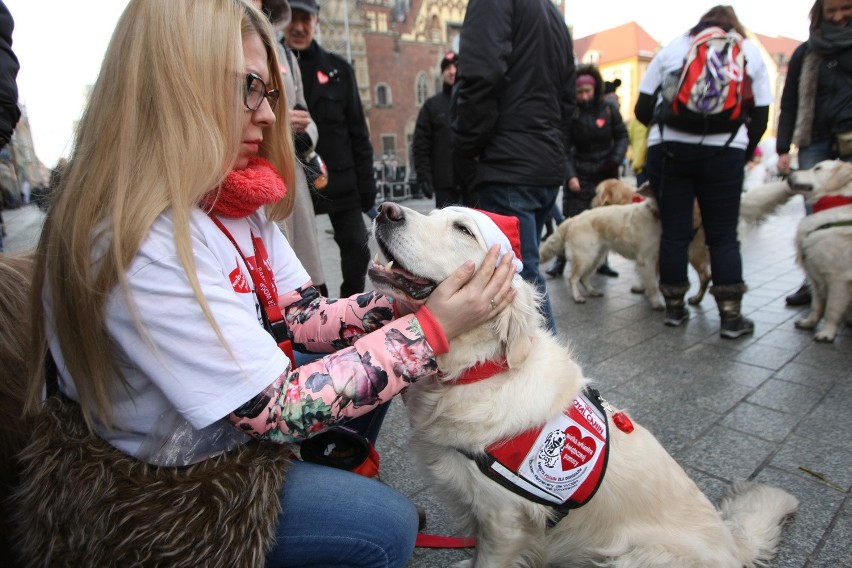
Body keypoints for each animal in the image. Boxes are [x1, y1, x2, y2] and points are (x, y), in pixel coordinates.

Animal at [368, 204, 800, 568]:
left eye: (462, 229)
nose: (384, 210)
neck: (479, 369)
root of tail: (732, 545)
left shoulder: (504, 520)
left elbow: (489, 559)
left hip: (632, 558)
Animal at [784, 161, 852, 342]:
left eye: (818, 168)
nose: (789, 174)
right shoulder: (814, 275)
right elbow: (816, 305)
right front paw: (809, 323)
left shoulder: (837, 277)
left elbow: (831, 309)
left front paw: (827, 333)